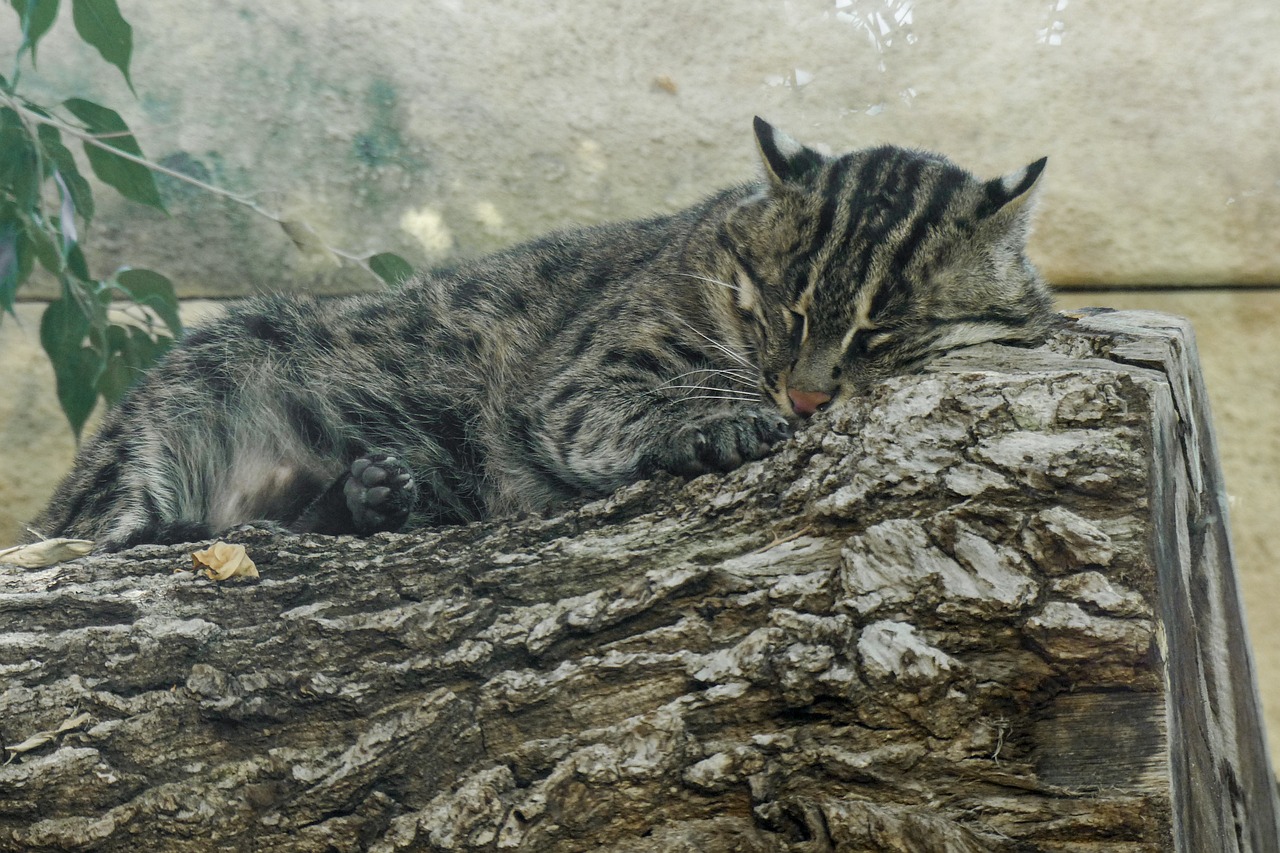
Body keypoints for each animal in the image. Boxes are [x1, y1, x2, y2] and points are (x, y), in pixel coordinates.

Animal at [30, 116, 1054, 548]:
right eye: (783, 304)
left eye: (882, 330)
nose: (803, 396)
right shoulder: (584, 375)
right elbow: (632, 400)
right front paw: (721, 421)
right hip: (194, 383)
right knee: (102, 535)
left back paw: (368, 497)